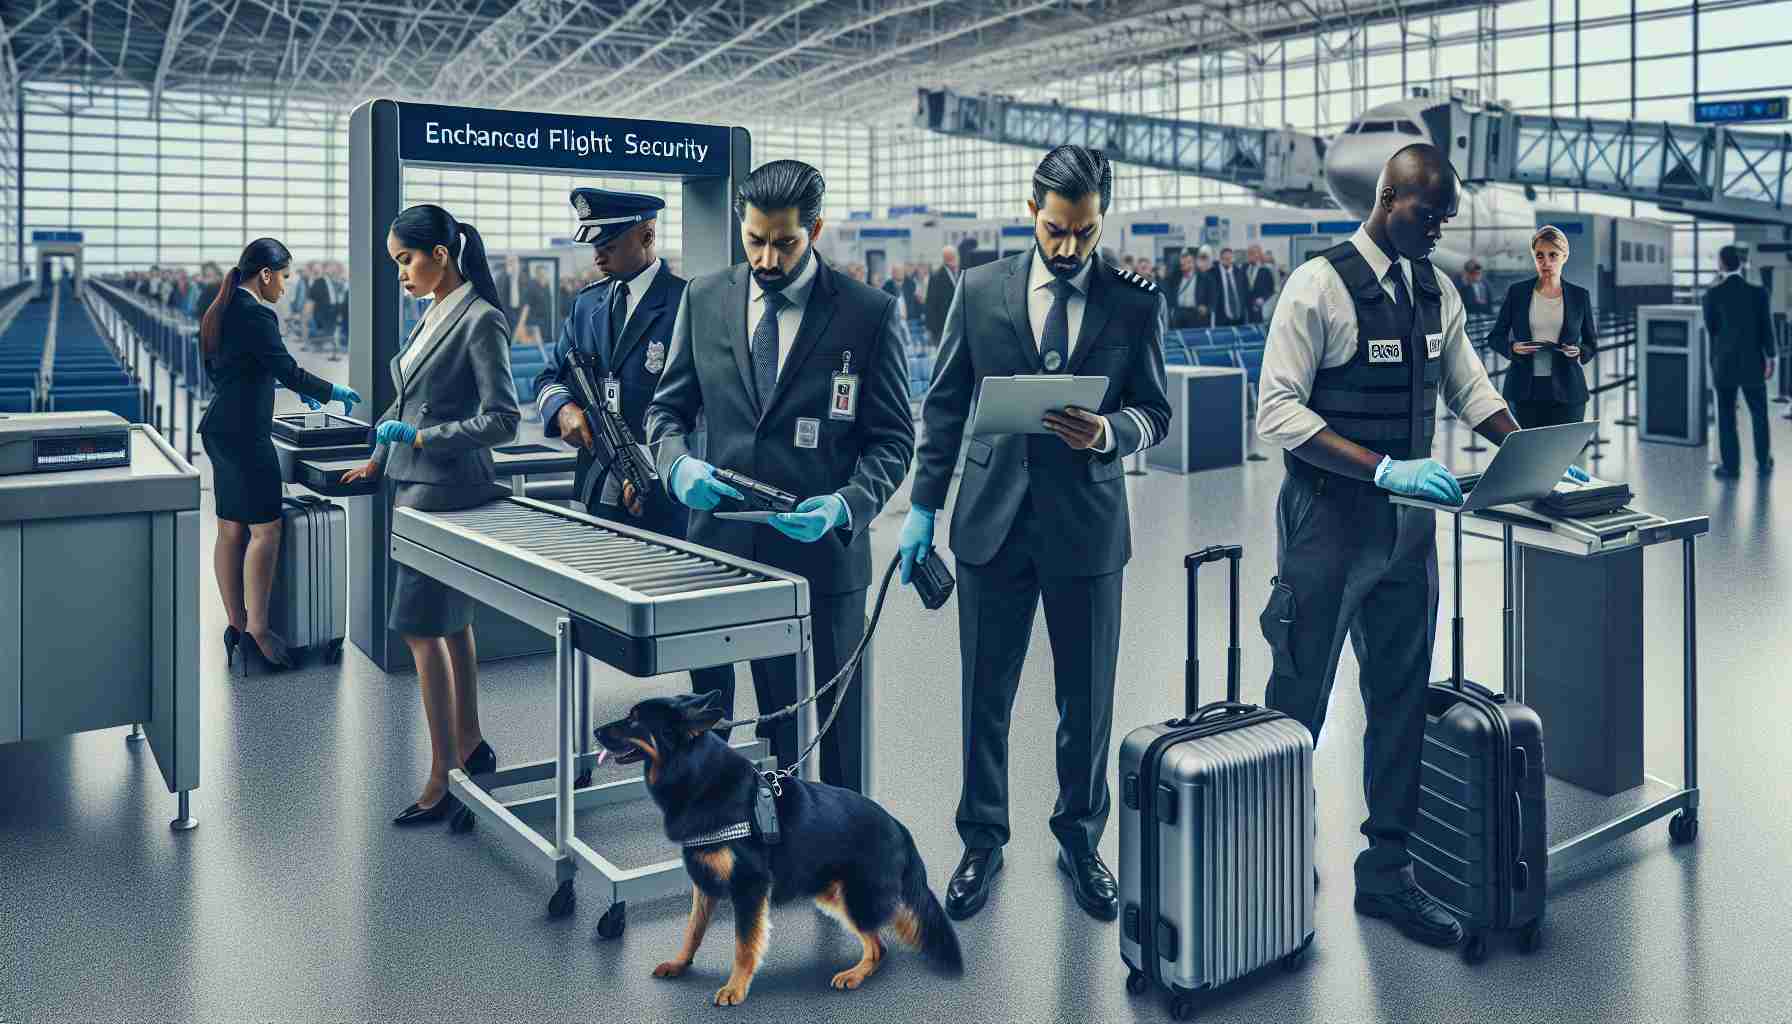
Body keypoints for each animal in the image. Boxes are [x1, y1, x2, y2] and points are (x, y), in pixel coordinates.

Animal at [598, 692, 967, 1004]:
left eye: (634, 720)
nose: (595, 731)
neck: (697, 776)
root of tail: (901, 829)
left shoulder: (750, 888)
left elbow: (744, 945)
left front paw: (735, 988)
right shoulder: (704, 886)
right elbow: (692, 931)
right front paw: (680, 963)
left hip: (855, 897)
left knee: (878, 947)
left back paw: (854, 974)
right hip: (832, 893)